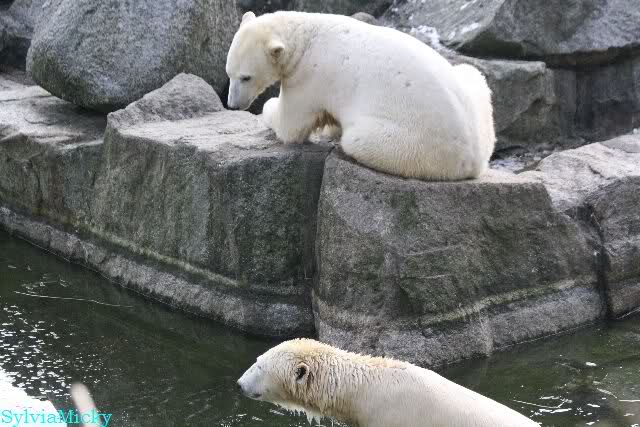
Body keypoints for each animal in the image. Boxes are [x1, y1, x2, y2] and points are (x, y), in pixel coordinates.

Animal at [225, 11, 495, 180]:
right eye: (229, 73)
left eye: (246, 77)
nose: (233, 104)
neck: (306, 35)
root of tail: (475, 159)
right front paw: (329, 127)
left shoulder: (309, 77)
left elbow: (290, 126)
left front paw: (270, 108)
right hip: (473, 98)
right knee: (472, 73)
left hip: (418, 144)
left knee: (358, 139)